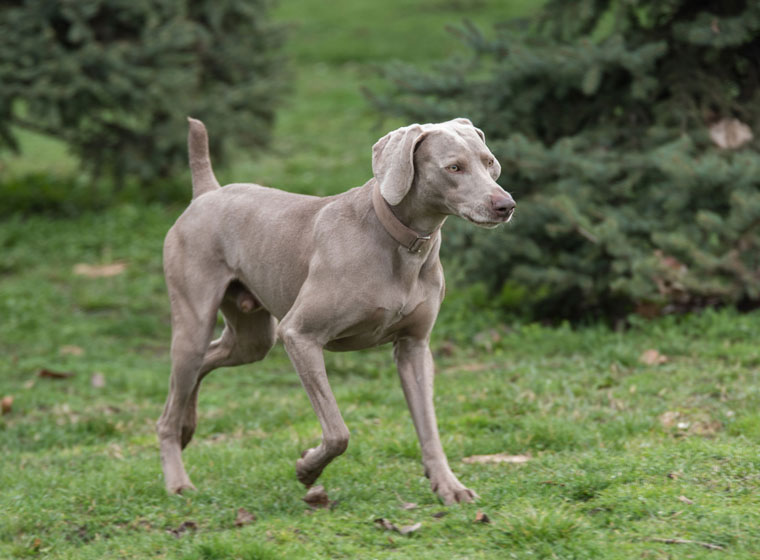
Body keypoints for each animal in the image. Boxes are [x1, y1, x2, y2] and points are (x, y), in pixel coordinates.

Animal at [160, 116, 516, 506]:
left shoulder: (414, 347)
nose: (506, 204)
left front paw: (448, 486)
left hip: (253, 339)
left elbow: (429, 426)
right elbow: (337, 431)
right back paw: (178, 480)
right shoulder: (299, 335)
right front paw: (307, 469)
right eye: (454, 167)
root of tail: (207, 192)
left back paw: (187, 426)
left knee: (204, 364)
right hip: (194, 322)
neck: (402, 244)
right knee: (173, 400)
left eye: (488, 161)